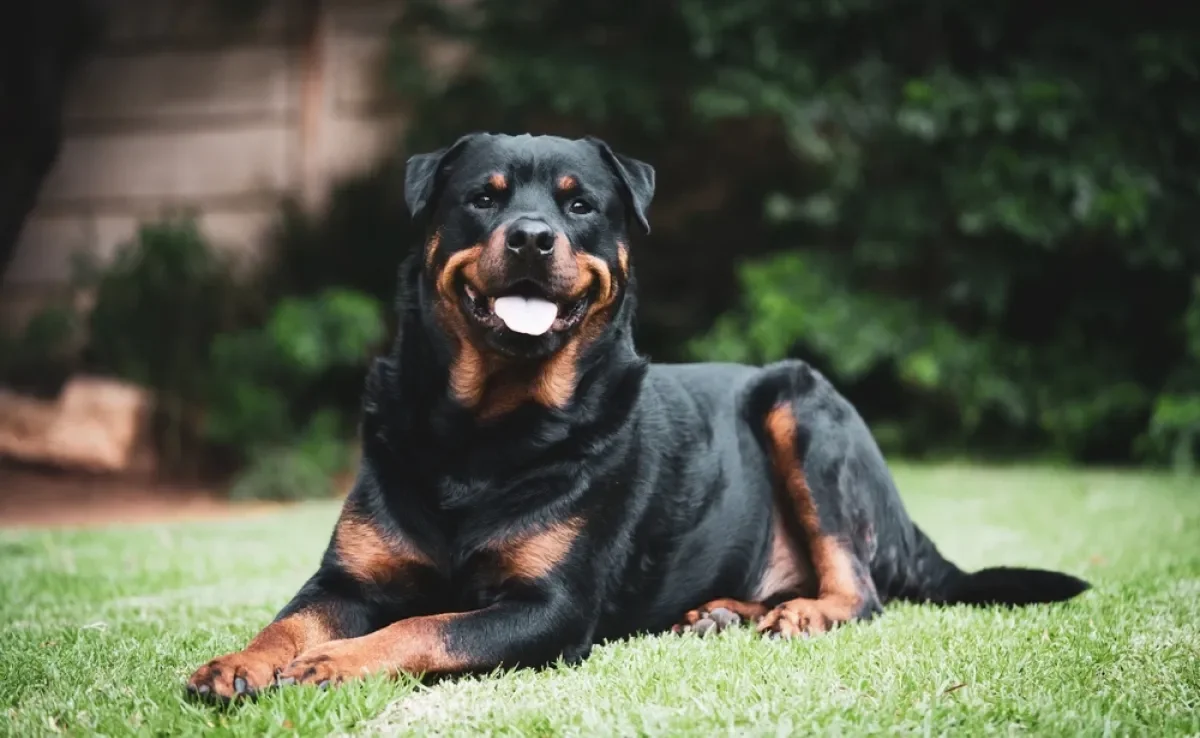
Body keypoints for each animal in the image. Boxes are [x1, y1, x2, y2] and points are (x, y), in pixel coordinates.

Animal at [184, 132, 1089, 705]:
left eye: (581, 207)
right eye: (484, 199)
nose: (533, 237)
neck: (484, 428)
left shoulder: (549, 608)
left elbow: (427, 626)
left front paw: (337, 663)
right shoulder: (346, 579)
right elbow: (291, 620)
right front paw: (236, 663)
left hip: (802, 405)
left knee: (861, 588)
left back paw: (803, 613)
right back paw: (726, 613)